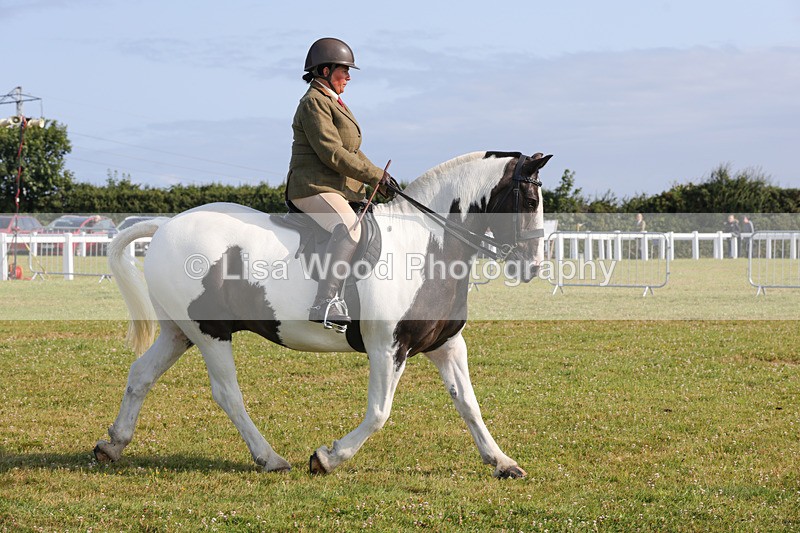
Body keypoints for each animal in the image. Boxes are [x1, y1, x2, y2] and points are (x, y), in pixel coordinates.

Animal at [94, 150, 553, 478]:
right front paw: (327, 457)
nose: (532, 267)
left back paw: (112, 444)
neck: (428, 245)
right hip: (210, 333)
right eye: (530, 199)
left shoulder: (445, 344)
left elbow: (469, 404)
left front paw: (502, 462)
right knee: (227, 394)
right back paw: (270, 458)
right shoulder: (388, 347)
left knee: (141, 374)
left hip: (180, 331)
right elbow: (379, 413)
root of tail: (166, 226)